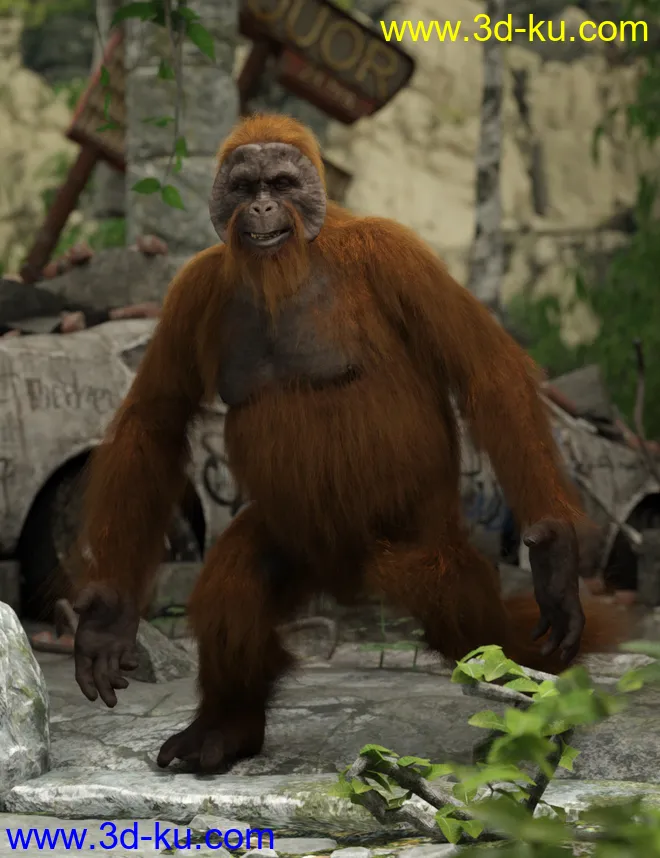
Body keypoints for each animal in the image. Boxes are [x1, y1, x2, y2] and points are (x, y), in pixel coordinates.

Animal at [71, 113, 625, 775]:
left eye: (282, 183)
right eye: (246, 185)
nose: (260, 206)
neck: (292, 265)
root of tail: (343, 576)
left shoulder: (396, 254)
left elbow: (486, 372)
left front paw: (555, 557)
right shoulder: (191, 289)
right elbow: (154, 420)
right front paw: (106, 618)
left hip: (419, 531)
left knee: (457, 600)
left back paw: (535, 695)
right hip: (295, 536)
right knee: (240, 577)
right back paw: (225, 728)